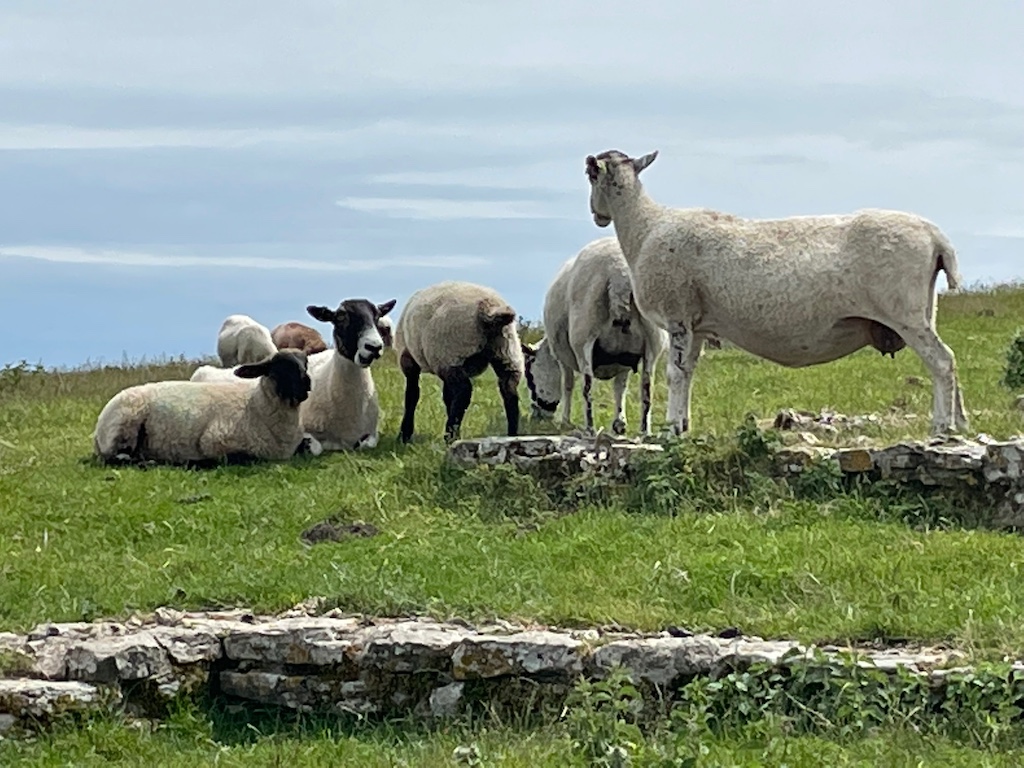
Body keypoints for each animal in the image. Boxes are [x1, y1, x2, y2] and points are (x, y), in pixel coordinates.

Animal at [93, 349, 321, 465]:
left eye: (305, 362)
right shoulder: (214, 440)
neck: (256, 405)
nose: (307, 383)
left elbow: (314, 448)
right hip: (123, 426)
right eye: (281, 366)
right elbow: (238, 456)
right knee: (115, 458)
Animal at [301, 297, 397, 451]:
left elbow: (366, 444)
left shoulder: (372, 433)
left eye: (377, 316)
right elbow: (316, 447)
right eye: (341, 317)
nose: (374, 347)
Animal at [394, 280, 524, 444]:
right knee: (510, 391)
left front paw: (404, 435)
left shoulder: (408, 358)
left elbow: (412, 395)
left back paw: (450, 436)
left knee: (464, 391)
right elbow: (447, 397)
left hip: (451, 353)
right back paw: (512, 435)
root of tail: (489, 307)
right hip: (507, 352)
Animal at [522, 236, 668, 436]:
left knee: (587, 386)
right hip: (653, 341)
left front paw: (565, 421)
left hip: (583, 335)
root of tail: (619, 271)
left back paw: (589, 428)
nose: (538, 416)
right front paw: (619, 423)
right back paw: (645, 431)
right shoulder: (624, 358)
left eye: (529, 377)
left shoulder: (561, 355)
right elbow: (620, 387)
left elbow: (567, 385)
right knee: (647, 387)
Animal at [583, 148, 968, 436]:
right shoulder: (697, 325)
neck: (644, 227)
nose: (596, 215)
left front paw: (672, 428)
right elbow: (688, 373)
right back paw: (960, 423)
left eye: (590, 175)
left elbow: (675, 375)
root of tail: (936, 238)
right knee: (948, 359)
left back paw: (942, 426)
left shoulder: (677, 315)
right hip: (925, 309)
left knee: (942, 361)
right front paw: (683, 425)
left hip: (903, 311)